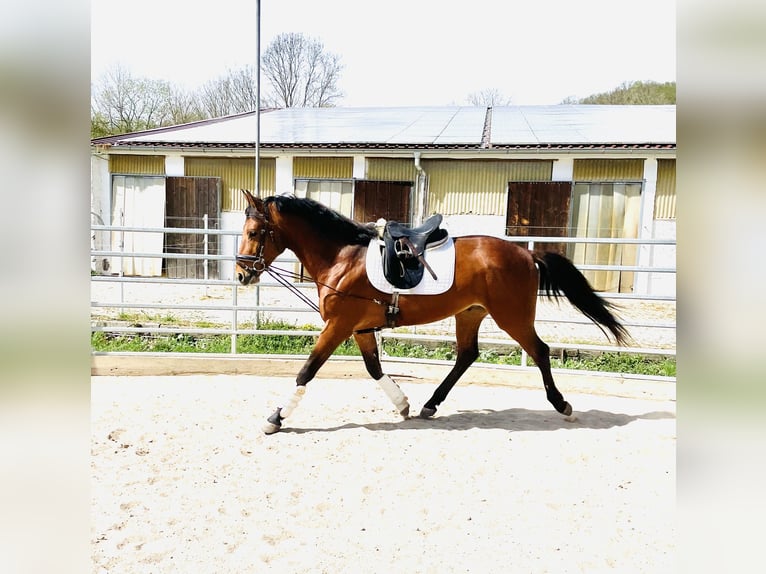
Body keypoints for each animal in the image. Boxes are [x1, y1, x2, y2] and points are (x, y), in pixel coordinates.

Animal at [236, 191, 632, 434]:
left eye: (254, 231)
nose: (242, 274)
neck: (341, 257)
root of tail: (526, 253)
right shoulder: (360, 328)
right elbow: (374, 369)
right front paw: (403, 405)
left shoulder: (339, 325)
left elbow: (307, 371)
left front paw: (275, 418)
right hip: (470, 313)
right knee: (467, 354)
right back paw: (430, 405)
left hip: (512, 317)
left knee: (540, 351)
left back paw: (562, 405)